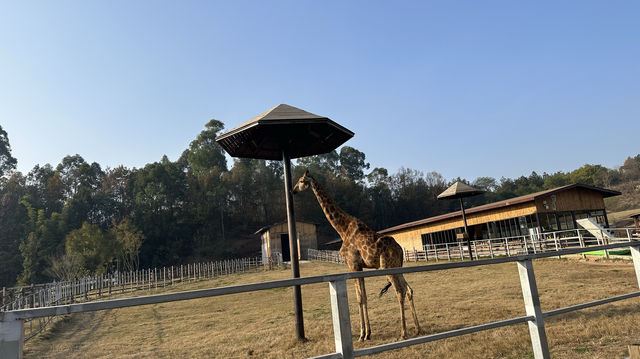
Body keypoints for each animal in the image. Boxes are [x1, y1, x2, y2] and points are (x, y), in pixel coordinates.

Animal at [292, 170, 422, 342]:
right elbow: (364, 297)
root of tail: (400, 250)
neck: (342, 228)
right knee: (409, 290)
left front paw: (361, 334)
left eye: (301, 180)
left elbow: (359, 298)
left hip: (387, 267)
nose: (293, 190)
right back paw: (417, 329)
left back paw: (403, 333)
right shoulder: (360, 267)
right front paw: (368, 333)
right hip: (397, 267)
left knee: (399, 292)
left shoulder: (352, 264)